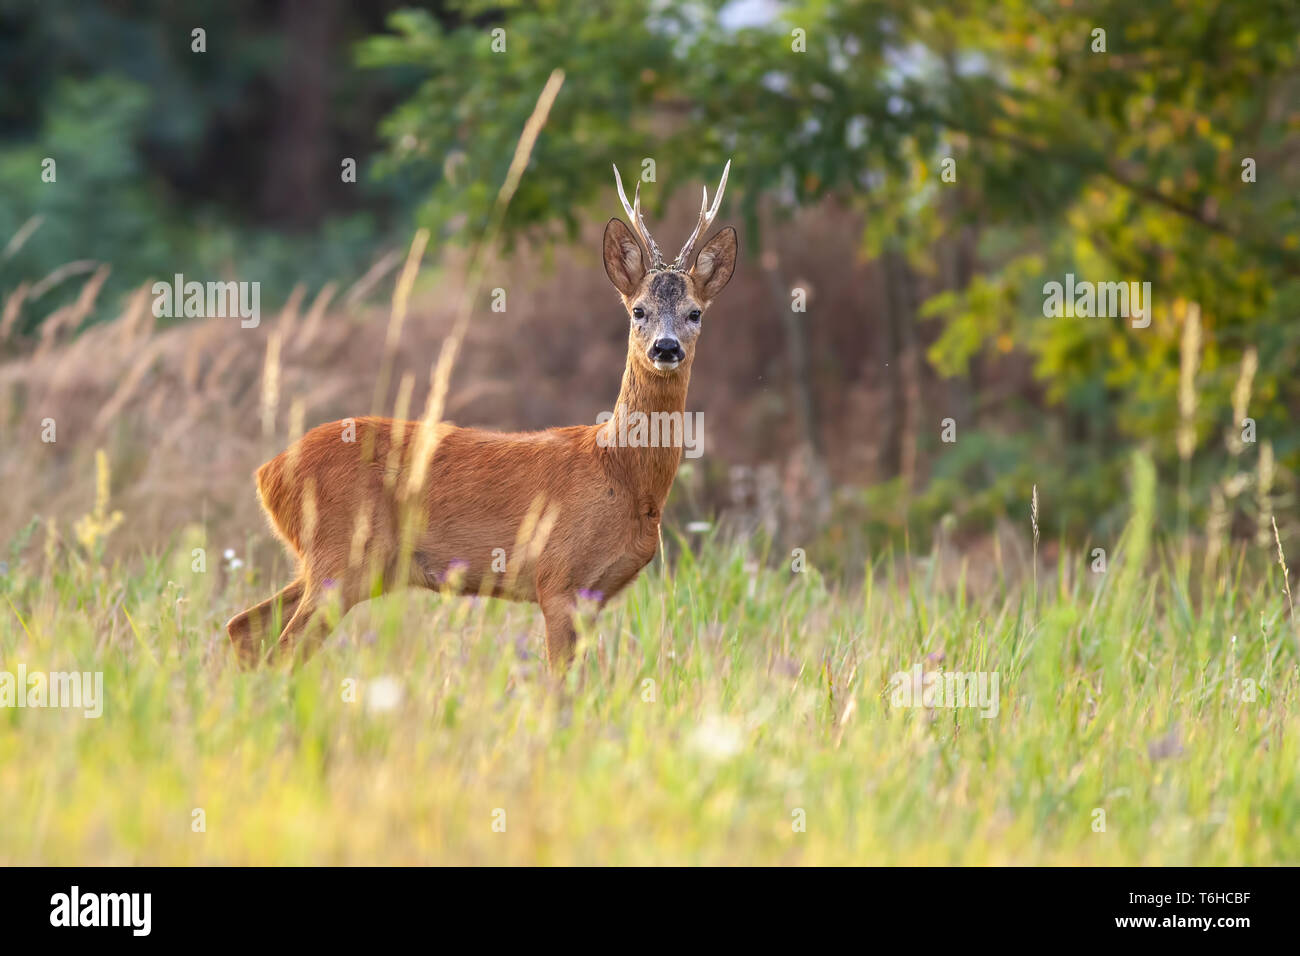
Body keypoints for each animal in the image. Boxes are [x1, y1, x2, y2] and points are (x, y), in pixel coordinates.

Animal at [228, 160, 738, 671]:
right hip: (341, 555)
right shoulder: (557, 578)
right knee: (282, 647)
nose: (666, 348)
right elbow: (558, 684)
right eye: (638, 310)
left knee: (244, 625)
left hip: (341, 565)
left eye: (695, 312)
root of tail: (268, 472)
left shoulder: (595, 594)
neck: (621, 472)